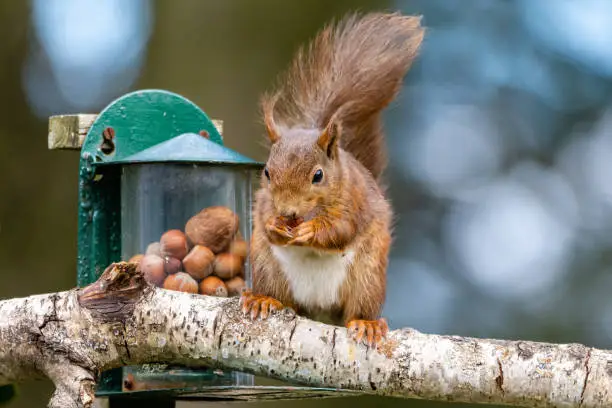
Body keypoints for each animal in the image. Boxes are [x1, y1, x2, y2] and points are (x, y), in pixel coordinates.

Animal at [240, 11, 426, 346]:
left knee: (358, 307)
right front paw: (275, 225)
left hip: (367, 277)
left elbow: (341, 230)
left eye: (318, 175)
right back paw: (262, 300)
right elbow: (264, 222)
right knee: (279, 295)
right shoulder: (262, 202)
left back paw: (366, 323)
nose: (288, 211)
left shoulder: (355, 202)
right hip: (266, 266)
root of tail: (320, 310)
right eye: (266, 172)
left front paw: (311, 231)